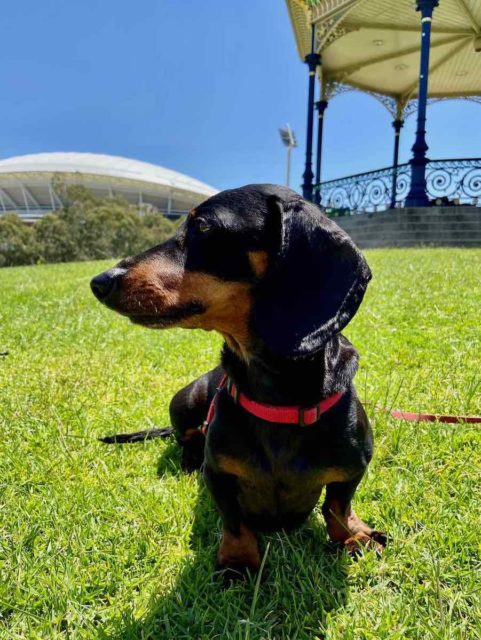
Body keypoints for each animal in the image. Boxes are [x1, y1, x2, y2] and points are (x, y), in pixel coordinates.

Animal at [91, 182, 386, 576]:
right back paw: (188, 461)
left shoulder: (354, 467)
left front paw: (354, 535)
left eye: (202, 227)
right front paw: (238, 560)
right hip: (185, 400)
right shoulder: (218, 475)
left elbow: (337, 506)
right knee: (186, 439)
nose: (99, 282)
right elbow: (235, 520)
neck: (278, 397)